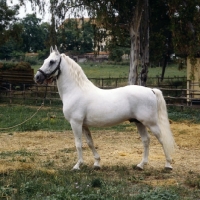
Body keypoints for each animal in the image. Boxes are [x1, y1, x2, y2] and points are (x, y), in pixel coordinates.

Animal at [34, 46, 175, 170]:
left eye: (52, 61)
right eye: (45, 60)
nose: (37, 77)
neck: (75, 90)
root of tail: (151, 90)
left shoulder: (76, 123)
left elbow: (78, 144)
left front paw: (78, 165)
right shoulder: (84, 125)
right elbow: (90, 143)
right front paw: (97, 163)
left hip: (151, 123)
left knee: (162, 139)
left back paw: (168, 165)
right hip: (139, 122)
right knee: (146, 140)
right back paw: (141, 165)